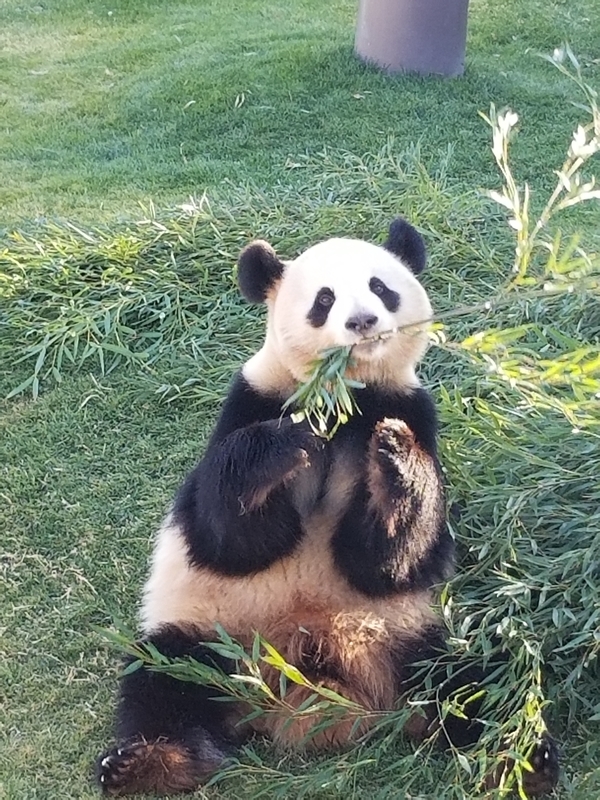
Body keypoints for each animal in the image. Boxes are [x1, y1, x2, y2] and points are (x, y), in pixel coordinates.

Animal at [96, 218, 559, 796]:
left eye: (381, 287)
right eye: (324, 298)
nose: (362, 321)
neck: (345, 397)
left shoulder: (409, 408)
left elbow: (385, 558)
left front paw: (393, 458)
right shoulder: (252, 400)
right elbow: (231, 535)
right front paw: (283, 448)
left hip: (415, 634)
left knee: (479, 683)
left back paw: (523, 759)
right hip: (213, 633)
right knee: (165, 681)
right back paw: (150, 762)